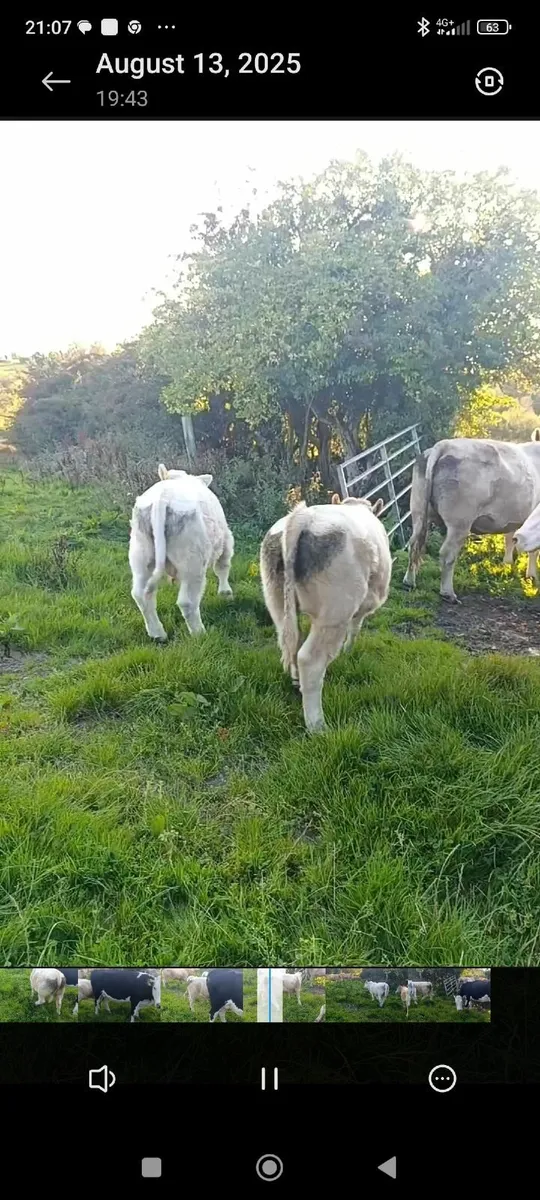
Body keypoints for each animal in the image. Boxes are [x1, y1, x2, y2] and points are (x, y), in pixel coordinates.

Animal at [129, 464, 234, 641]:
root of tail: (161, 499)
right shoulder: (226, 539)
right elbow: (223, 567)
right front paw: (226, 594)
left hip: (140, 555)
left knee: (140, 594)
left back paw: (158, 634)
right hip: (192, 561)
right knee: (187, 602)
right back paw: (200, 634)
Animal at [260, 496, 392, 732]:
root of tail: (304, 516)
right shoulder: (366, 602)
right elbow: (356, 627)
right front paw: (348, 650)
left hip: (276, 600)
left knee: (290, 641)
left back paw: (296, 681)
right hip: (335, 612)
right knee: (310, 660)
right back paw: (317, 727)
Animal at [403, 432, 540, 603]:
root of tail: (444, 445)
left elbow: (510, 539)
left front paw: (507, 564)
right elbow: (533, 550)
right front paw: (532, 576)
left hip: (419, 512)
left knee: (414, 544)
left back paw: (409, 582)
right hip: (459, 523)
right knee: (447, 554)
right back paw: (448, 593)